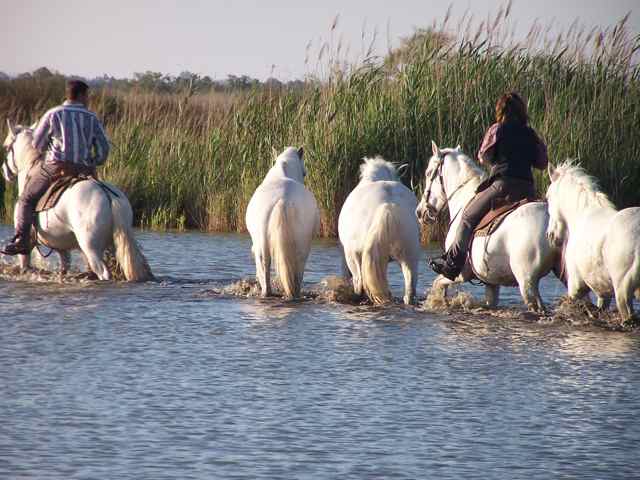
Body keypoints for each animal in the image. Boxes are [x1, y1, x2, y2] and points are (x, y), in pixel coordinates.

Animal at [2, 120, 153, 284]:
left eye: (7, 147)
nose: (4, 171)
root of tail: (107, 194)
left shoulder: (27, 245)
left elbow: (25, 264)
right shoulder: (62, 247)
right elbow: (64, 267)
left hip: (91, 248)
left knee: (103, 272)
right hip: (116, 244)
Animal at [338, 157, 422, 304]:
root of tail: (388, 204)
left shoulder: (350, 254)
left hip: (355, 256)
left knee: (360, 285)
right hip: (410, 256)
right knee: (410, 292)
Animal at [416, 142, 560, 312]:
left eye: (428, 173)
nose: (420, 212)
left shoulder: (461, 274)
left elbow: (437, 283)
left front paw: (438, 302)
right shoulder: (491, 282)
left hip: (527, 282)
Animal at [544, 161, 640, 322]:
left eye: (548, 197)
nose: (551, 236)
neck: (582, 215)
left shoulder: (575, 285)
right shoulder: (603, 291)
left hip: (622, 292)